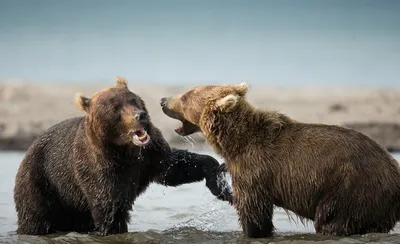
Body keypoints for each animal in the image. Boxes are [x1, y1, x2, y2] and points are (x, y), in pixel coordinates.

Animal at [14, 77, 231, 235]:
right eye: (115, 108)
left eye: (133, 100)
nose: (141, 115)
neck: (124, 150)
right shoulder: (99, 169)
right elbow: (110, 208)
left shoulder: (150, 155)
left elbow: (173, 167)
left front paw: (219, 182)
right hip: (41, 184)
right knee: (37, 219)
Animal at [159, 82, 400, 238]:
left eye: (185, 97)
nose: (162, 100)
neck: (235, 144)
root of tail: (394, 170)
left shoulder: (254, 171)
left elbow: (254, 213)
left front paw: (253, 231)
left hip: (350, 189)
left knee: (332, 222)